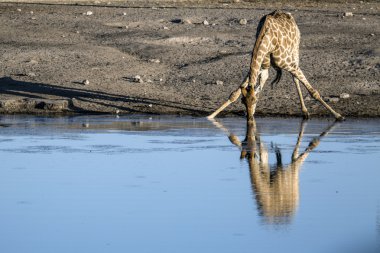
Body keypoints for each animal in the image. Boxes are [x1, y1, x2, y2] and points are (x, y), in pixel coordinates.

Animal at [208, 11, 344, 122]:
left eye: (254, 100)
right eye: (243, 101)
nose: (249, 118)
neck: (267, 39)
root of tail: (288, 14)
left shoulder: (288, 64)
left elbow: (313, 92)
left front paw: (338, 115)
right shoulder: (262, 64)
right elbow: (236, 93)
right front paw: (210, 116)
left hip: (295, 51)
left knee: (295, 78)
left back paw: (305, 112)